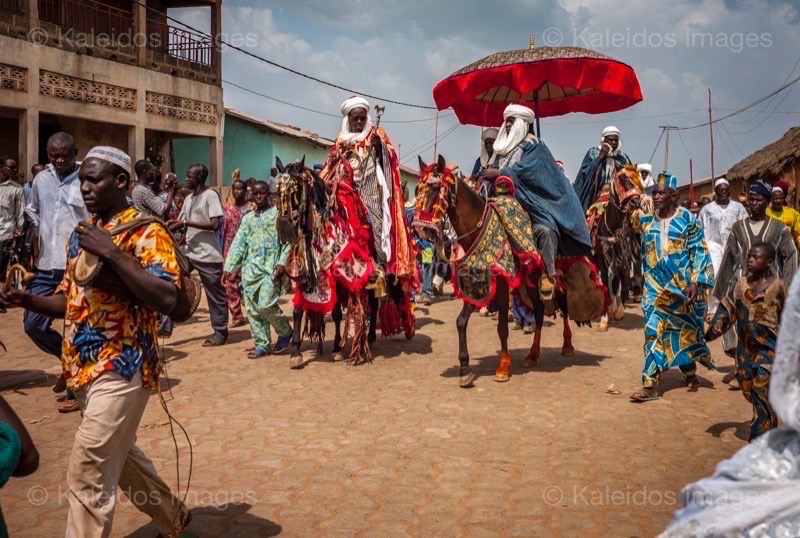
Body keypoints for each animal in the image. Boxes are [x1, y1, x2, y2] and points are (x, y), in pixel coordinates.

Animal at [416, 154, 592, 386]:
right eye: (418, 189)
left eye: (436, 188)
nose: (421, 229)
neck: (478, 230)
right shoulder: (477, 284)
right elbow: (461, 322)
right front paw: (465, 369)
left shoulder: (500, 284)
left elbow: (502, 327)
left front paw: (503, 367)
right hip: (530, 283)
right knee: (538, 311)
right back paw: (532, 355)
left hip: (556, 276)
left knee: (562, 305)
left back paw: (567, 346)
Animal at [588, 164, 644, 330]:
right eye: (622, 179)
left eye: (638, 179)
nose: (636, 201)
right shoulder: (603, 264)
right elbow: (607, 289)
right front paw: (604, 319)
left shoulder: (624, 261)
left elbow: (623, 288)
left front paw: (618, 313)